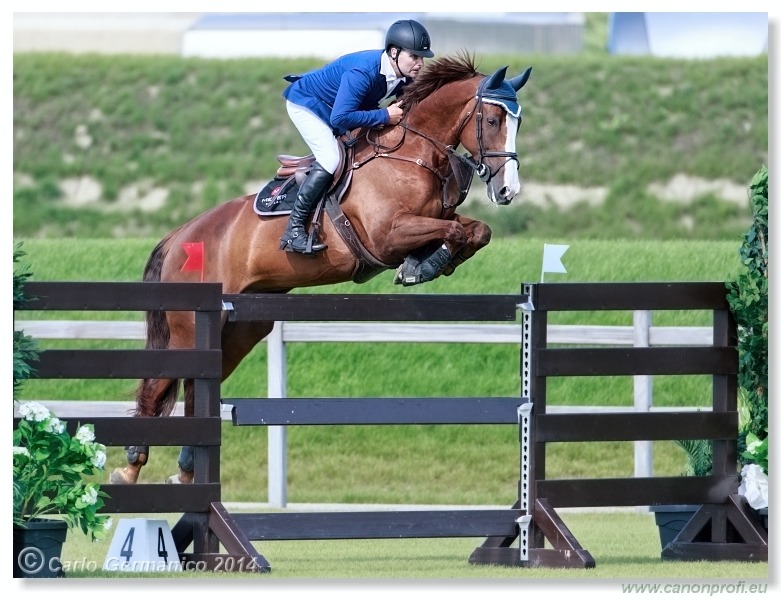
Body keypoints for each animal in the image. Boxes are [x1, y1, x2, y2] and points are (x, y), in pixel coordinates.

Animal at [109, 54, 532, 486]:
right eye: (493, 120)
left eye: (518, 122)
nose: (507, 191)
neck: (412, 151)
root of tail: (179, 236)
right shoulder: (386, 236)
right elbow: (451, 230)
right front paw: (422, 265)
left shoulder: (432, 220)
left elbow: (475, 230)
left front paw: (429, 262)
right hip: (188, 327)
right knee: (157, 386)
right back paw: (130, 469)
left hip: (241, 329)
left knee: (196, 391)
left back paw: (185, 472)